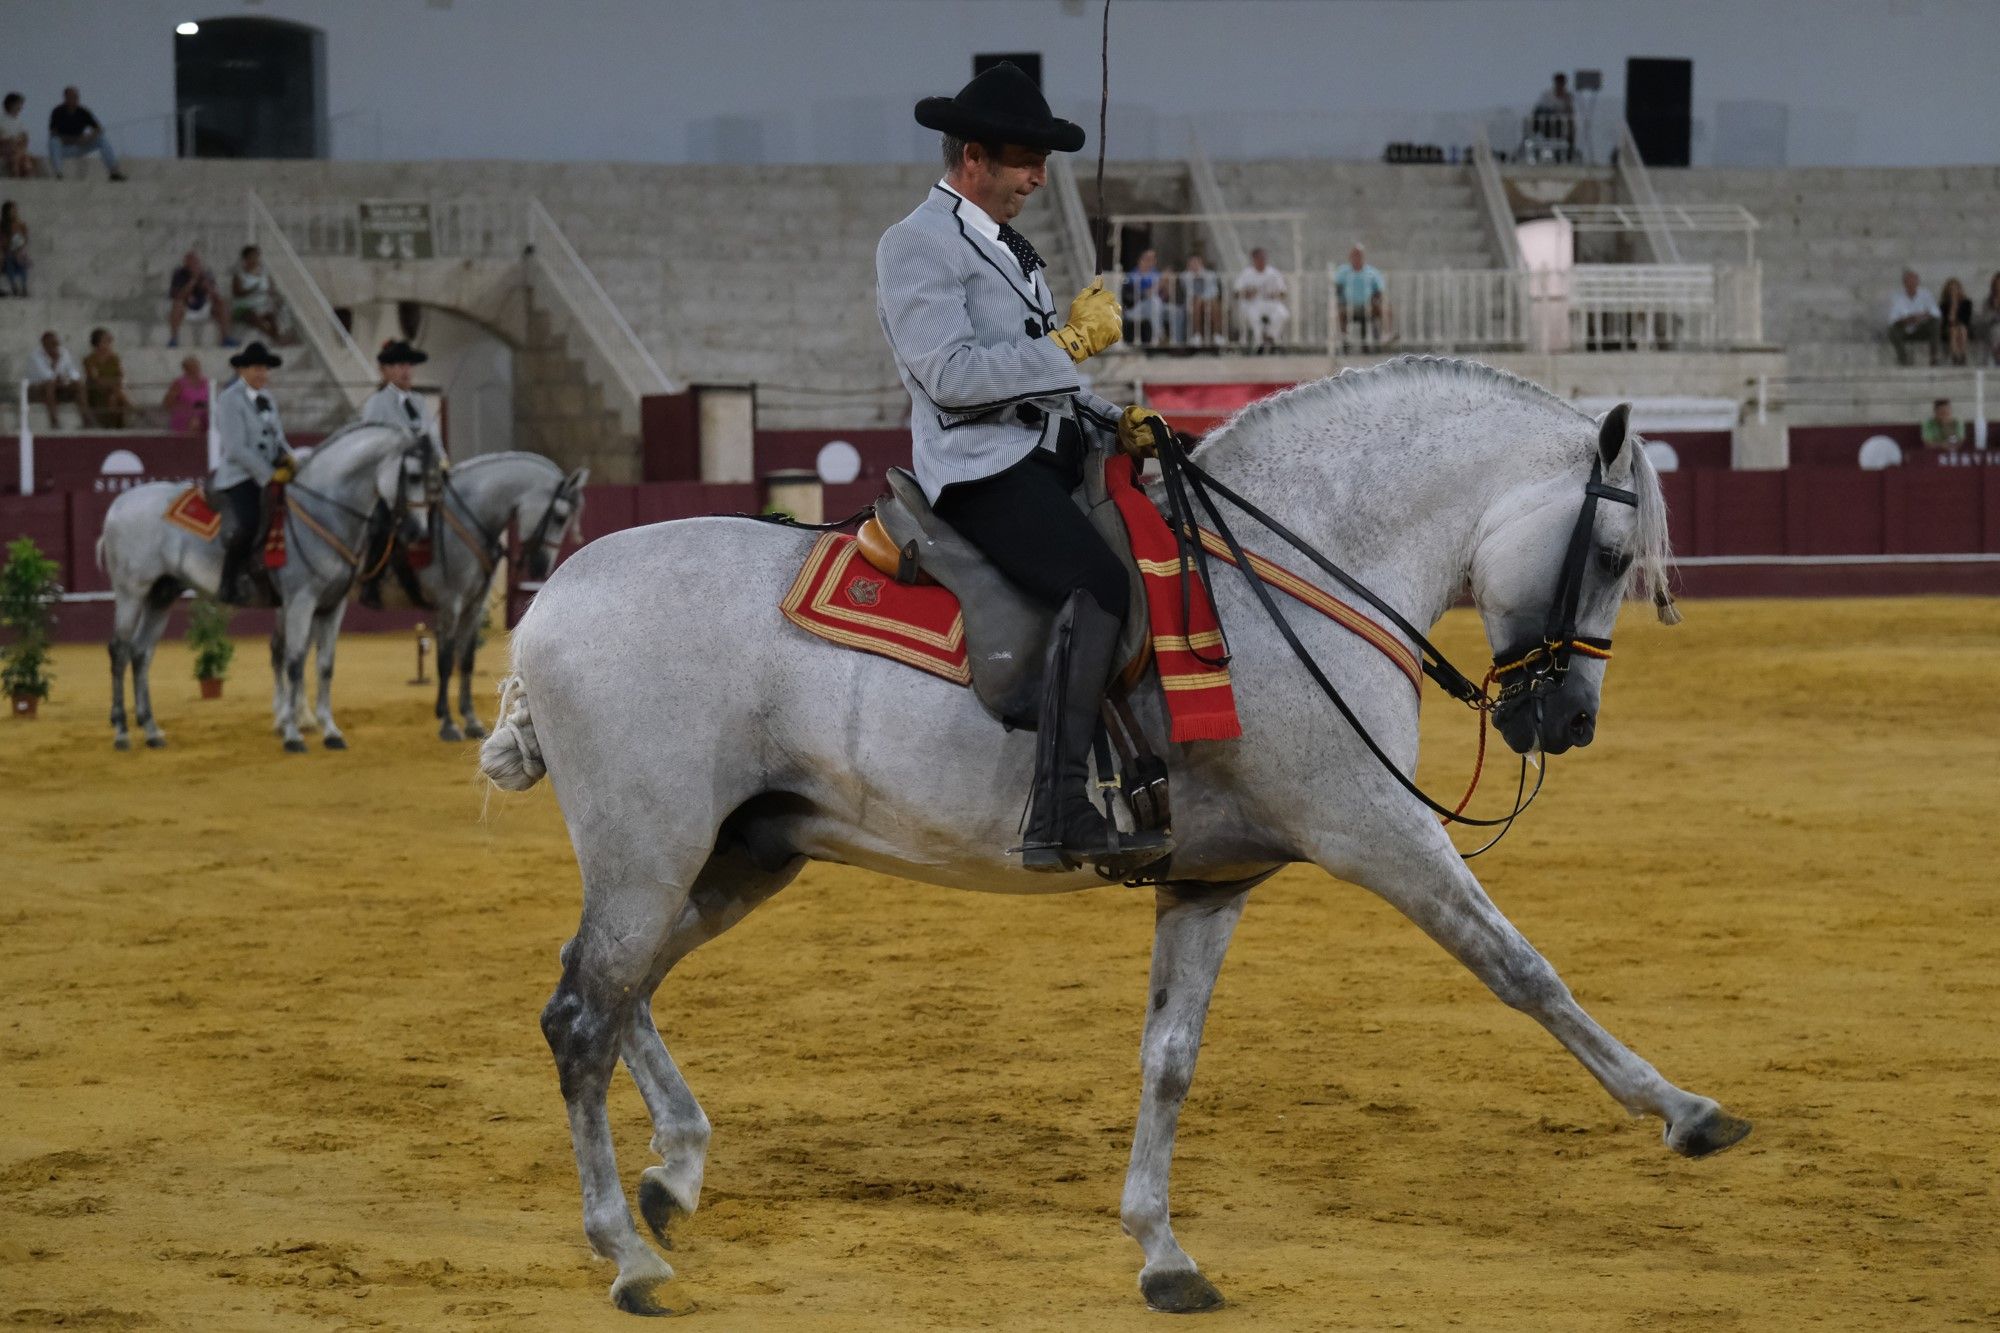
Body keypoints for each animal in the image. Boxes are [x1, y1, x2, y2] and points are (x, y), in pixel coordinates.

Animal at [95, 428, 432, 756]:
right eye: (413, 476)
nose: (417, 532)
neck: (323, 512)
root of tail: (119, 505)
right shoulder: (299, 602)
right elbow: (294, 661)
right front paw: (293, 734)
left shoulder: (332, 606)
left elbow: (324, 665)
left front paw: (331, 732)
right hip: (131, 593)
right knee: (120, 651)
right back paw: (122, 732)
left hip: (161, 595)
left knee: (141, 654)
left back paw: (152, 731)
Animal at [476, 358, 1744, 1312]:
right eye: (1614, 558)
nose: (1565, 721)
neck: (1293, 570)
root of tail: (555, 598)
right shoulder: (1374, 830)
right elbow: (1520, 967)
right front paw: (1684, 1111)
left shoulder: (1211, 881)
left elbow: (1167, 1055)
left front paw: (1160, 1250)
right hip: (652, 848)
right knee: (582, 1012)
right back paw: (629, 1253)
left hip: (743, 854)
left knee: (617, 986)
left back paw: (675, 1172)